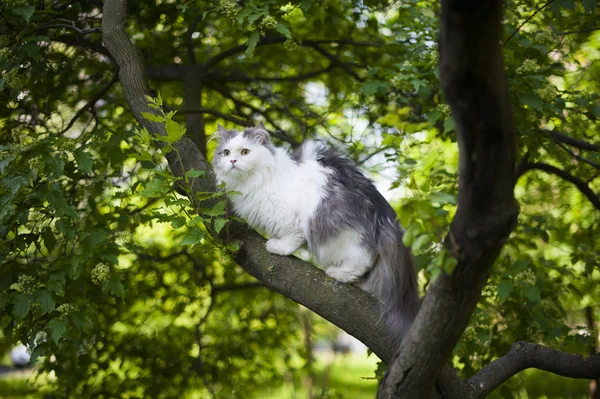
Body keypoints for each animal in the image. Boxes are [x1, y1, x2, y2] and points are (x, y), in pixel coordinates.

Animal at [213, 123, 420, 348]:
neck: (254, 181)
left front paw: (278, 247)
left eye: (245, 152)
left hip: (343, 236)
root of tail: (384, 217)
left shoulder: (293, 218)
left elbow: (294, 236)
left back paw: (338, 273)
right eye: (226, 152)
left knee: (362, 261)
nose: (233, 161)